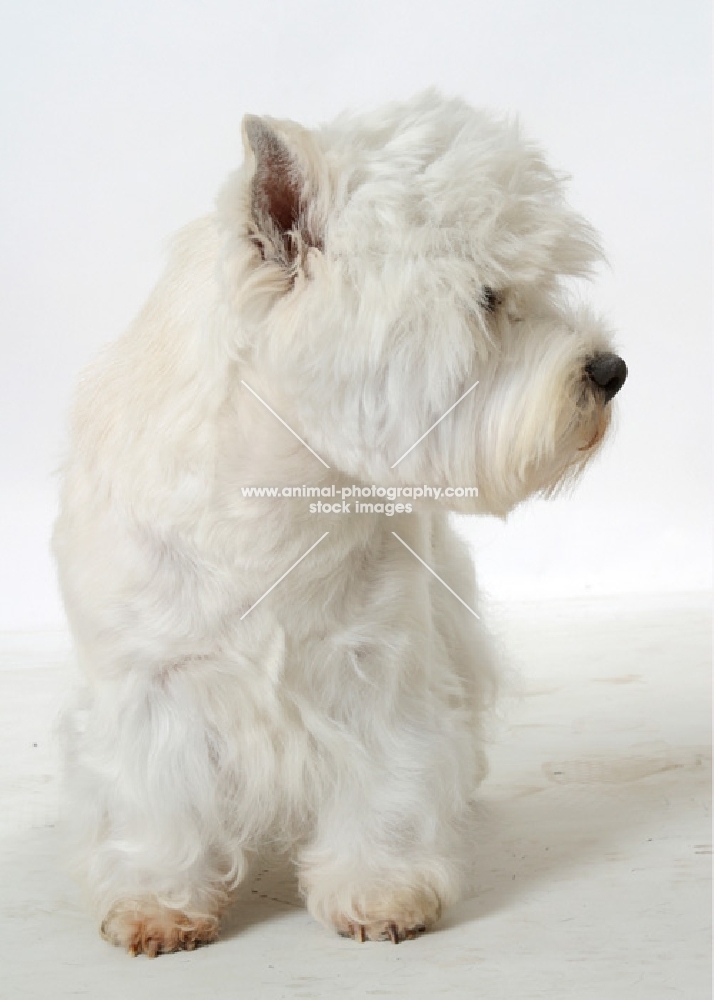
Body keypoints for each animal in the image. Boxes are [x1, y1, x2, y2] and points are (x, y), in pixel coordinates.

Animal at [52, 92, 624, 952]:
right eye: (488, 299)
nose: (611, 370)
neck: (277, 500)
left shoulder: (377, 666)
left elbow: (387, 782)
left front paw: (381, 892)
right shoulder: (150, 682)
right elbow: (153, 803)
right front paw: (158, 902)